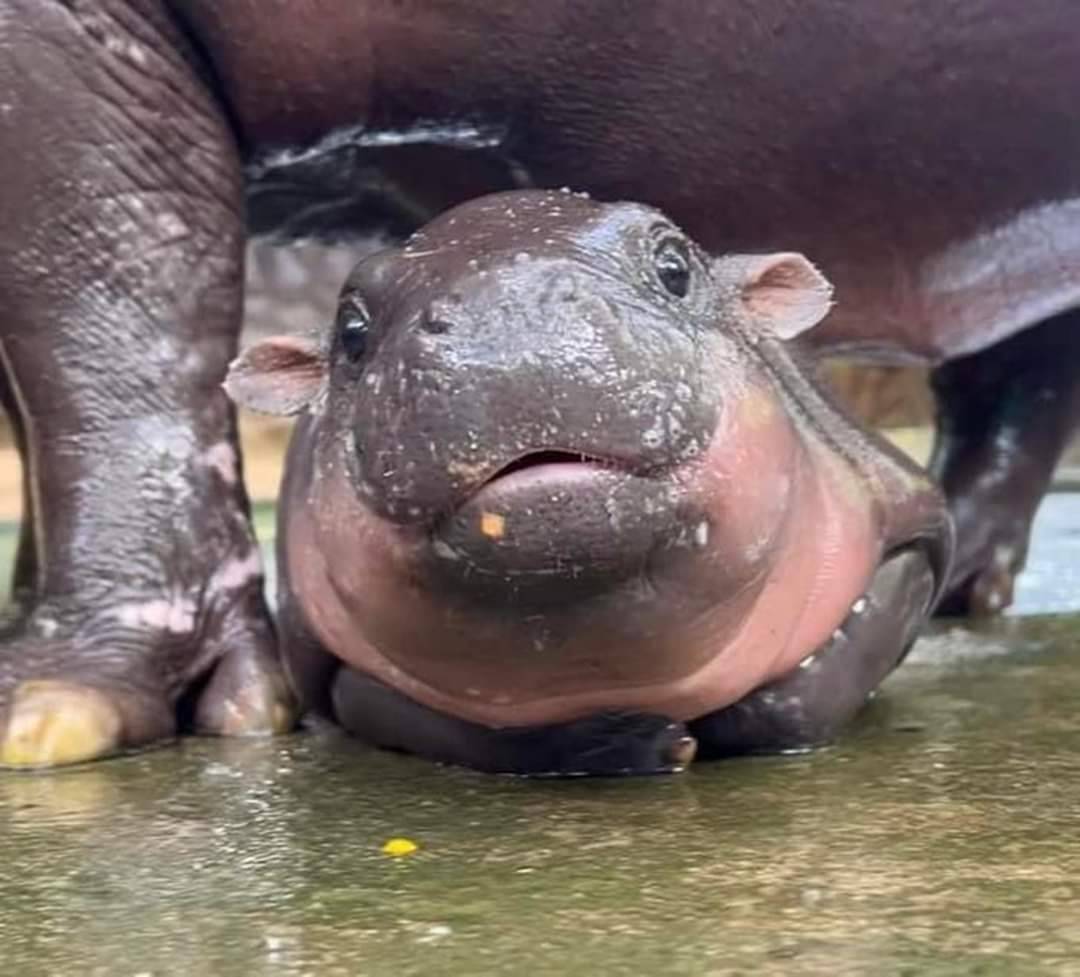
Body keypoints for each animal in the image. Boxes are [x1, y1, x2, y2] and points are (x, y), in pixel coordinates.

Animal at [230, 186, 954, 772]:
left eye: (674, 266)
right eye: (351, 328)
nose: (509, 309)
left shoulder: (909, 517)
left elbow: (807, 689)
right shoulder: (331, 668)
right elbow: (456, 729)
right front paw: (640, 742)